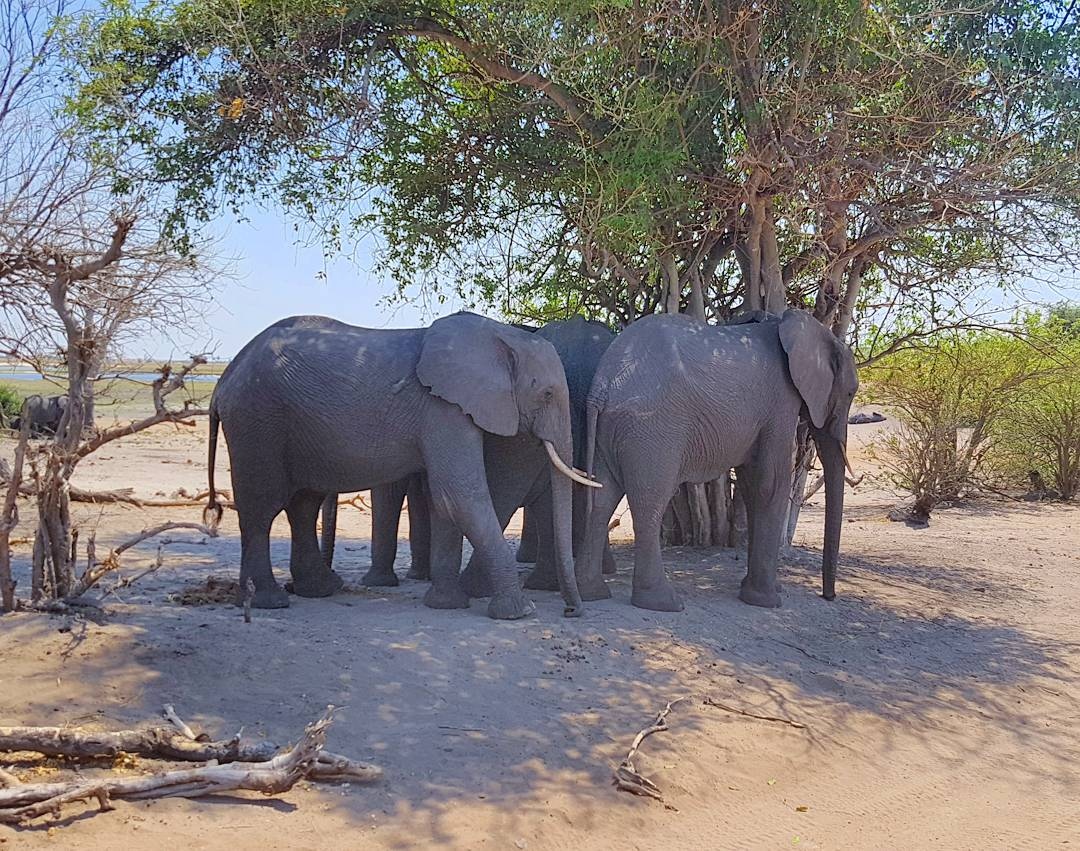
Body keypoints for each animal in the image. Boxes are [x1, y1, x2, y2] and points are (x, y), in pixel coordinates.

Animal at [205, 312, 597, 619]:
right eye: (546, 394)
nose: (570, 610)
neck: (500, 336)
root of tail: (224, 379)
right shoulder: (443, 408)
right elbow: (460, 495)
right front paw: (520, 612)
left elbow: (444, 501)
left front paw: (446, 605)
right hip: (257, 421)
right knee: (262, 507)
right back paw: (270, 601)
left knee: (303, 504)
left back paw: (317, 589)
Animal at [574, 309, 859, 612]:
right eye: (850, 393)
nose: (829, 596)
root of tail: (603, 382)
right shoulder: (781, 403)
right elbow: (771, 484)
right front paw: (767, 601)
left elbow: (752, 485)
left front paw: (756, 590)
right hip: (650, 427)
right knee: (649, 503)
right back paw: (664, 603)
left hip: (612, 428)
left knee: (602, 498)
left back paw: (592, 593)